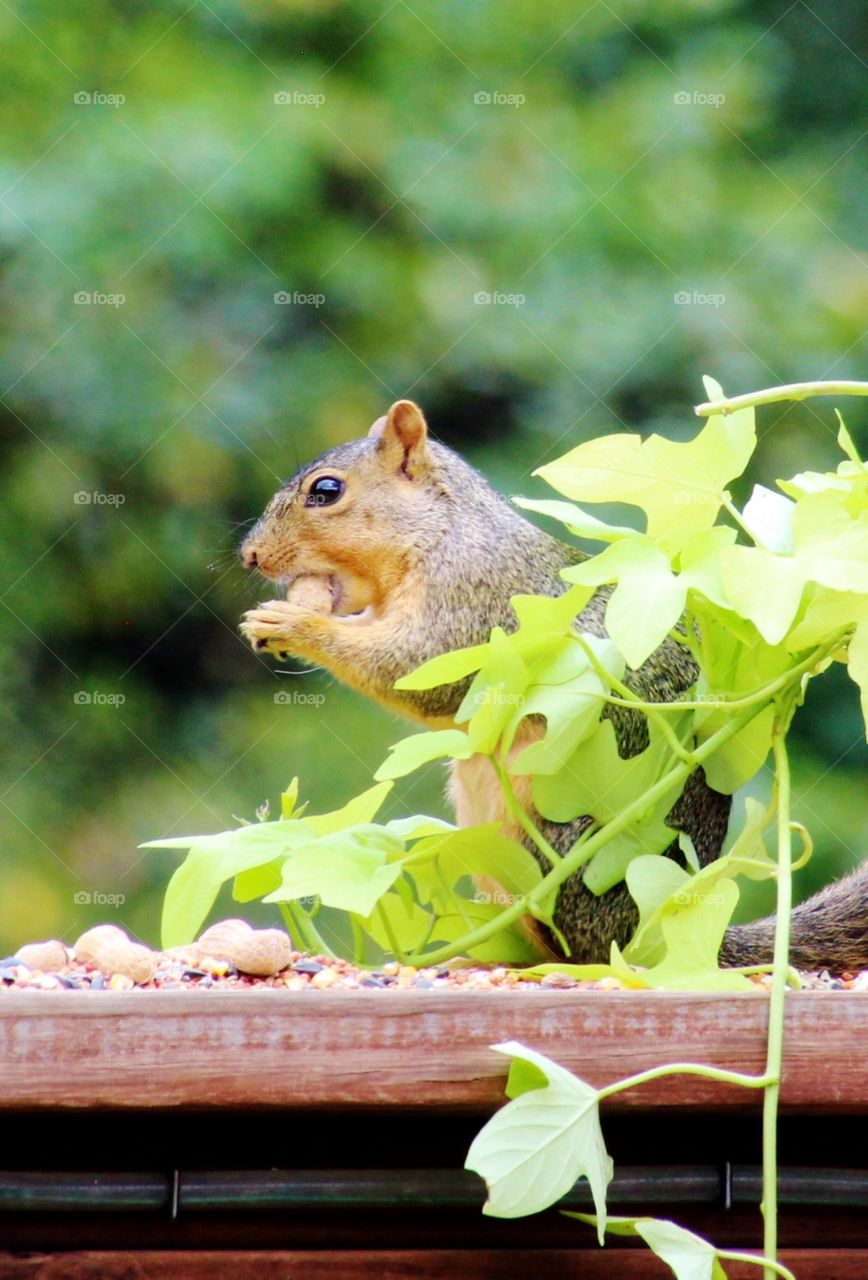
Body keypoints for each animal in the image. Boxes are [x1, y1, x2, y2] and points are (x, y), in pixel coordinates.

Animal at [238, 399, 868, 967]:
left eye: (326, 491)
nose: (249, 556)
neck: (441, 531)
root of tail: (663, 923)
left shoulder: (476, 603)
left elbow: (412, 671)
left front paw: (291, 623)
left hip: (562, 846)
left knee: (576, 949)